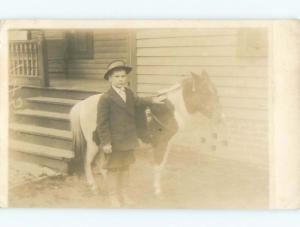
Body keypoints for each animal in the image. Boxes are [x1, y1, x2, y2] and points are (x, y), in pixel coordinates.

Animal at [69, 71, 221, 195]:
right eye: (206, 92)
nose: (219, 117)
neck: (170, 110)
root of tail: (82, 104)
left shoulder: (167, 144)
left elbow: (162, 164)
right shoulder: (161, 144)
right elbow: (158, 165)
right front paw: (157, 190)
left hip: (103, 144)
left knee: (100, 163)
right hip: (93, 143)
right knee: (88, 162)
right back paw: (93, 186)